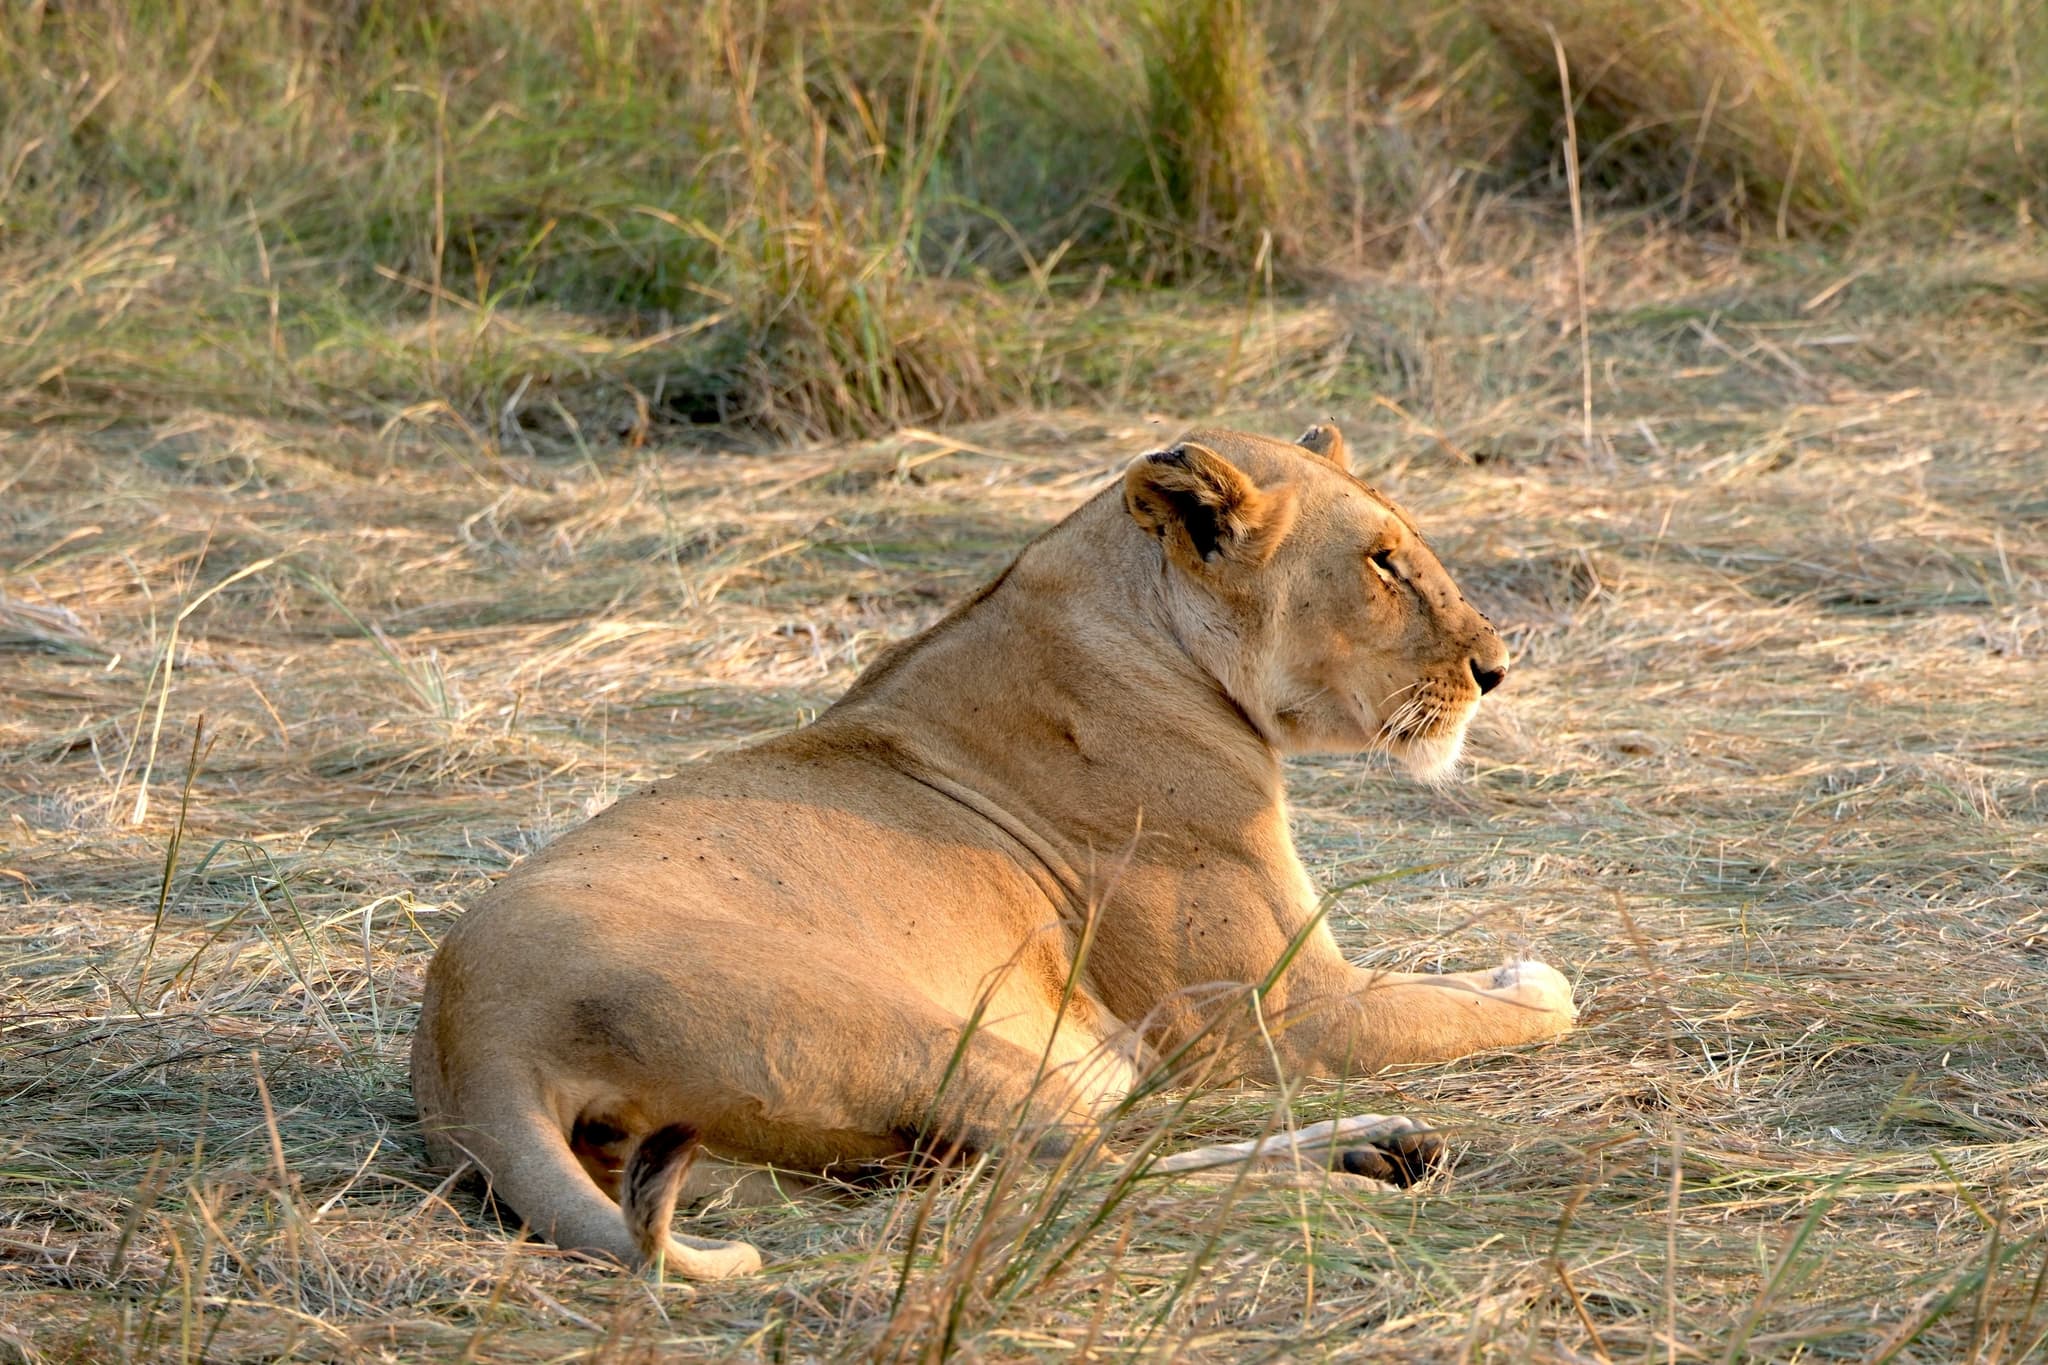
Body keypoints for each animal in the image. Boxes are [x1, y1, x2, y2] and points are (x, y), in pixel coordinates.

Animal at [410, 423, 1576, 1278]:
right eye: (1381, 562)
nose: (1497, 669)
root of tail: (470, 1037)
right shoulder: (1272, 1013)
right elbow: (1511, 1007)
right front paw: (1524, 976)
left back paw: (1381, 1147)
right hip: (934, 1039)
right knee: (1078, 1178)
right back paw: (1357, 1168)